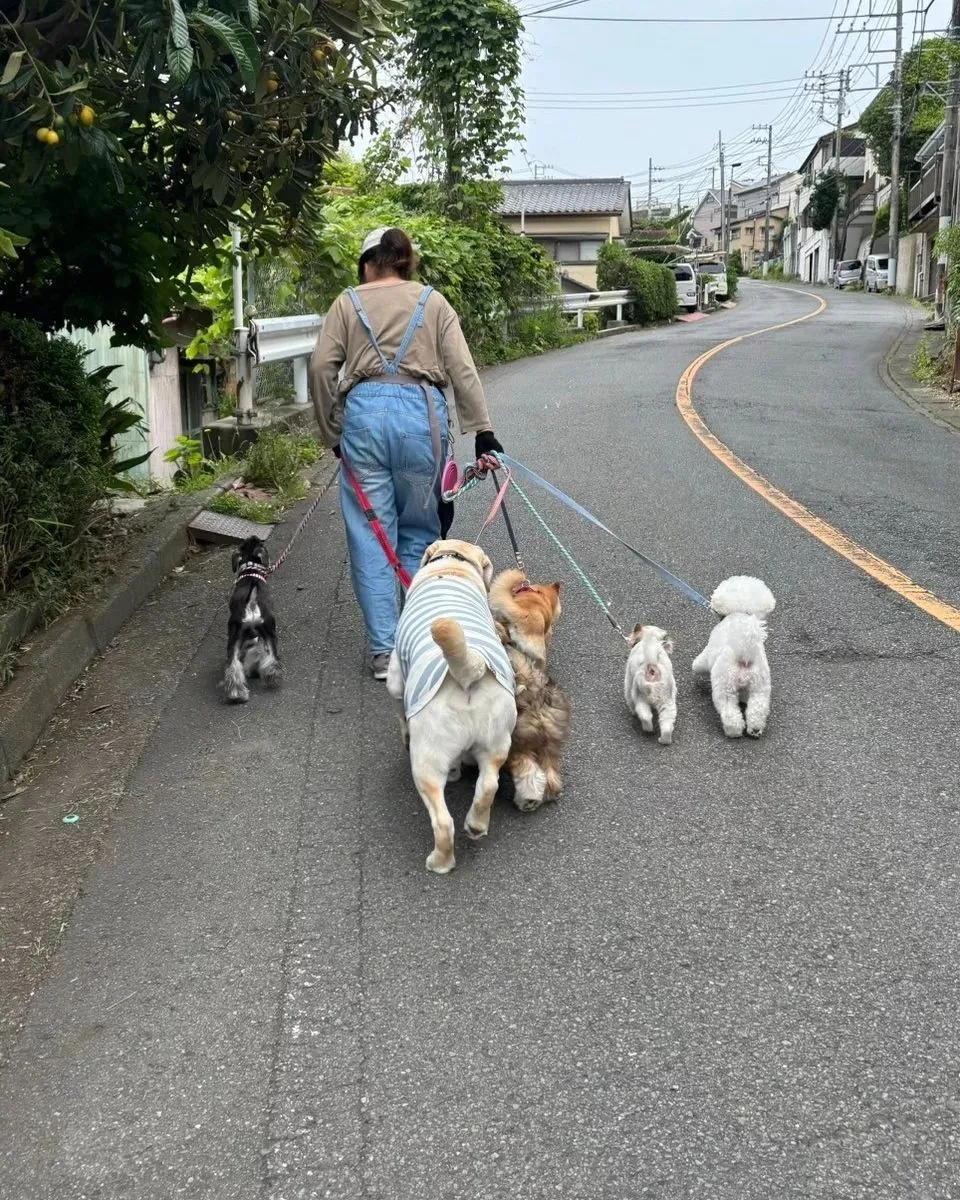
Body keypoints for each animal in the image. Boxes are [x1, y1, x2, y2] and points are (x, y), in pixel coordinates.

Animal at [386, 542, 518, 873]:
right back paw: (476, 825)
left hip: (426, 762)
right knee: (488, 786)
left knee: (443, 822)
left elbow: (398, 707)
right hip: (497, 742)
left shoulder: (395, 678)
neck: (452, 565)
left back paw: (440, 862)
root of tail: (469, 668)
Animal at [487, 566, 571, 811]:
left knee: (529, 772)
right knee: (549, 772)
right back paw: (548, 794)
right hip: (548, 741)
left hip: (518, 743)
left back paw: (528, 799)